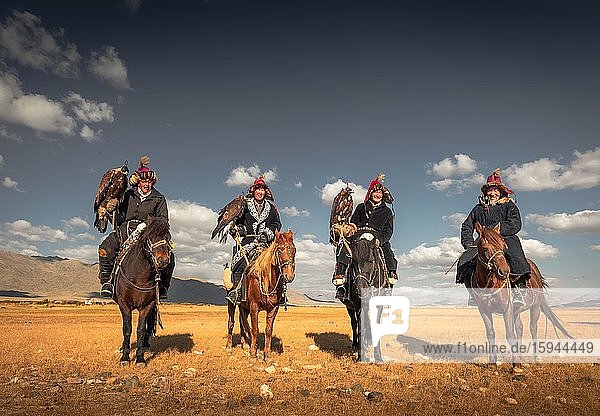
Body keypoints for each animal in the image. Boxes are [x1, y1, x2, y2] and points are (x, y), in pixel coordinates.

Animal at [112, 218, 173, 368]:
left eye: (168, 238)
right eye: (149, 236)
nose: (163, 260)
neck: (139, 276)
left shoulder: (148, 305)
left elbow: (141, 329)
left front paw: (140, 358)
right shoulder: (124, 304)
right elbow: (127, 328)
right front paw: (125, 357)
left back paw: (145, 345)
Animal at [226, 229, 296, 360]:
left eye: (294, 250)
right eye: (279, 250)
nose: (289, 276)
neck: (267, 280)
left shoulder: (274, 308)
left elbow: (268, 329)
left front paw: (267, 353)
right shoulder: (254, 306)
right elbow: (255, 329)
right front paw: (253, 352)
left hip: (243, 306)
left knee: (242, 322)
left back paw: (244, 343)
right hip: (231, 302)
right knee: (231, 322)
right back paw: (229, 345)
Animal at [340, 228, 392, 360]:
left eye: (371, 260)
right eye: (353, 261)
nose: (360, 290)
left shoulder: (379, 304)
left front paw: (378, 357)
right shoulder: (358, 305)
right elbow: (360, 326)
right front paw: (360, 356)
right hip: (349, 306)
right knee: (354, 323)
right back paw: (355, 345)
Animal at [464, 223, 572, 366]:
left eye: (503, 247)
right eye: (485, 248)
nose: (504, 271)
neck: (489, 284)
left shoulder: (507, 308)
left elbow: (510, 334)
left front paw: (516, 365)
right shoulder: (484, 310)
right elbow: (491, 333)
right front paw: (493, 361)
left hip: (535, 307)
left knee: (533, 328)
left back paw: (536, 358)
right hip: (516, 310)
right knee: (520, 328)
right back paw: (520, 356)